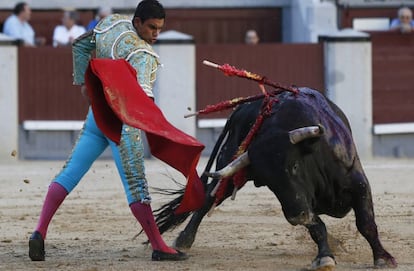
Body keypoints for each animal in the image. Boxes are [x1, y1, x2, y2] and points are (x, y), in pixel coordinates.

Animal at [155, 88, 398, 270]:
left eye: (295, 165)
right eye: (268, 182)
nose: (296, 217)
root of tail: (241, 107)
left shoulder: (358, 183)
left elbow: (366, 223)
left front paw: (383, 258)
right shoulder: (299, 202)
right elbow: (317, 227)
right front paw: (325, 257)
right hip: (230, 166)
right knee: (208, 197)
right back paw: (184, 241)